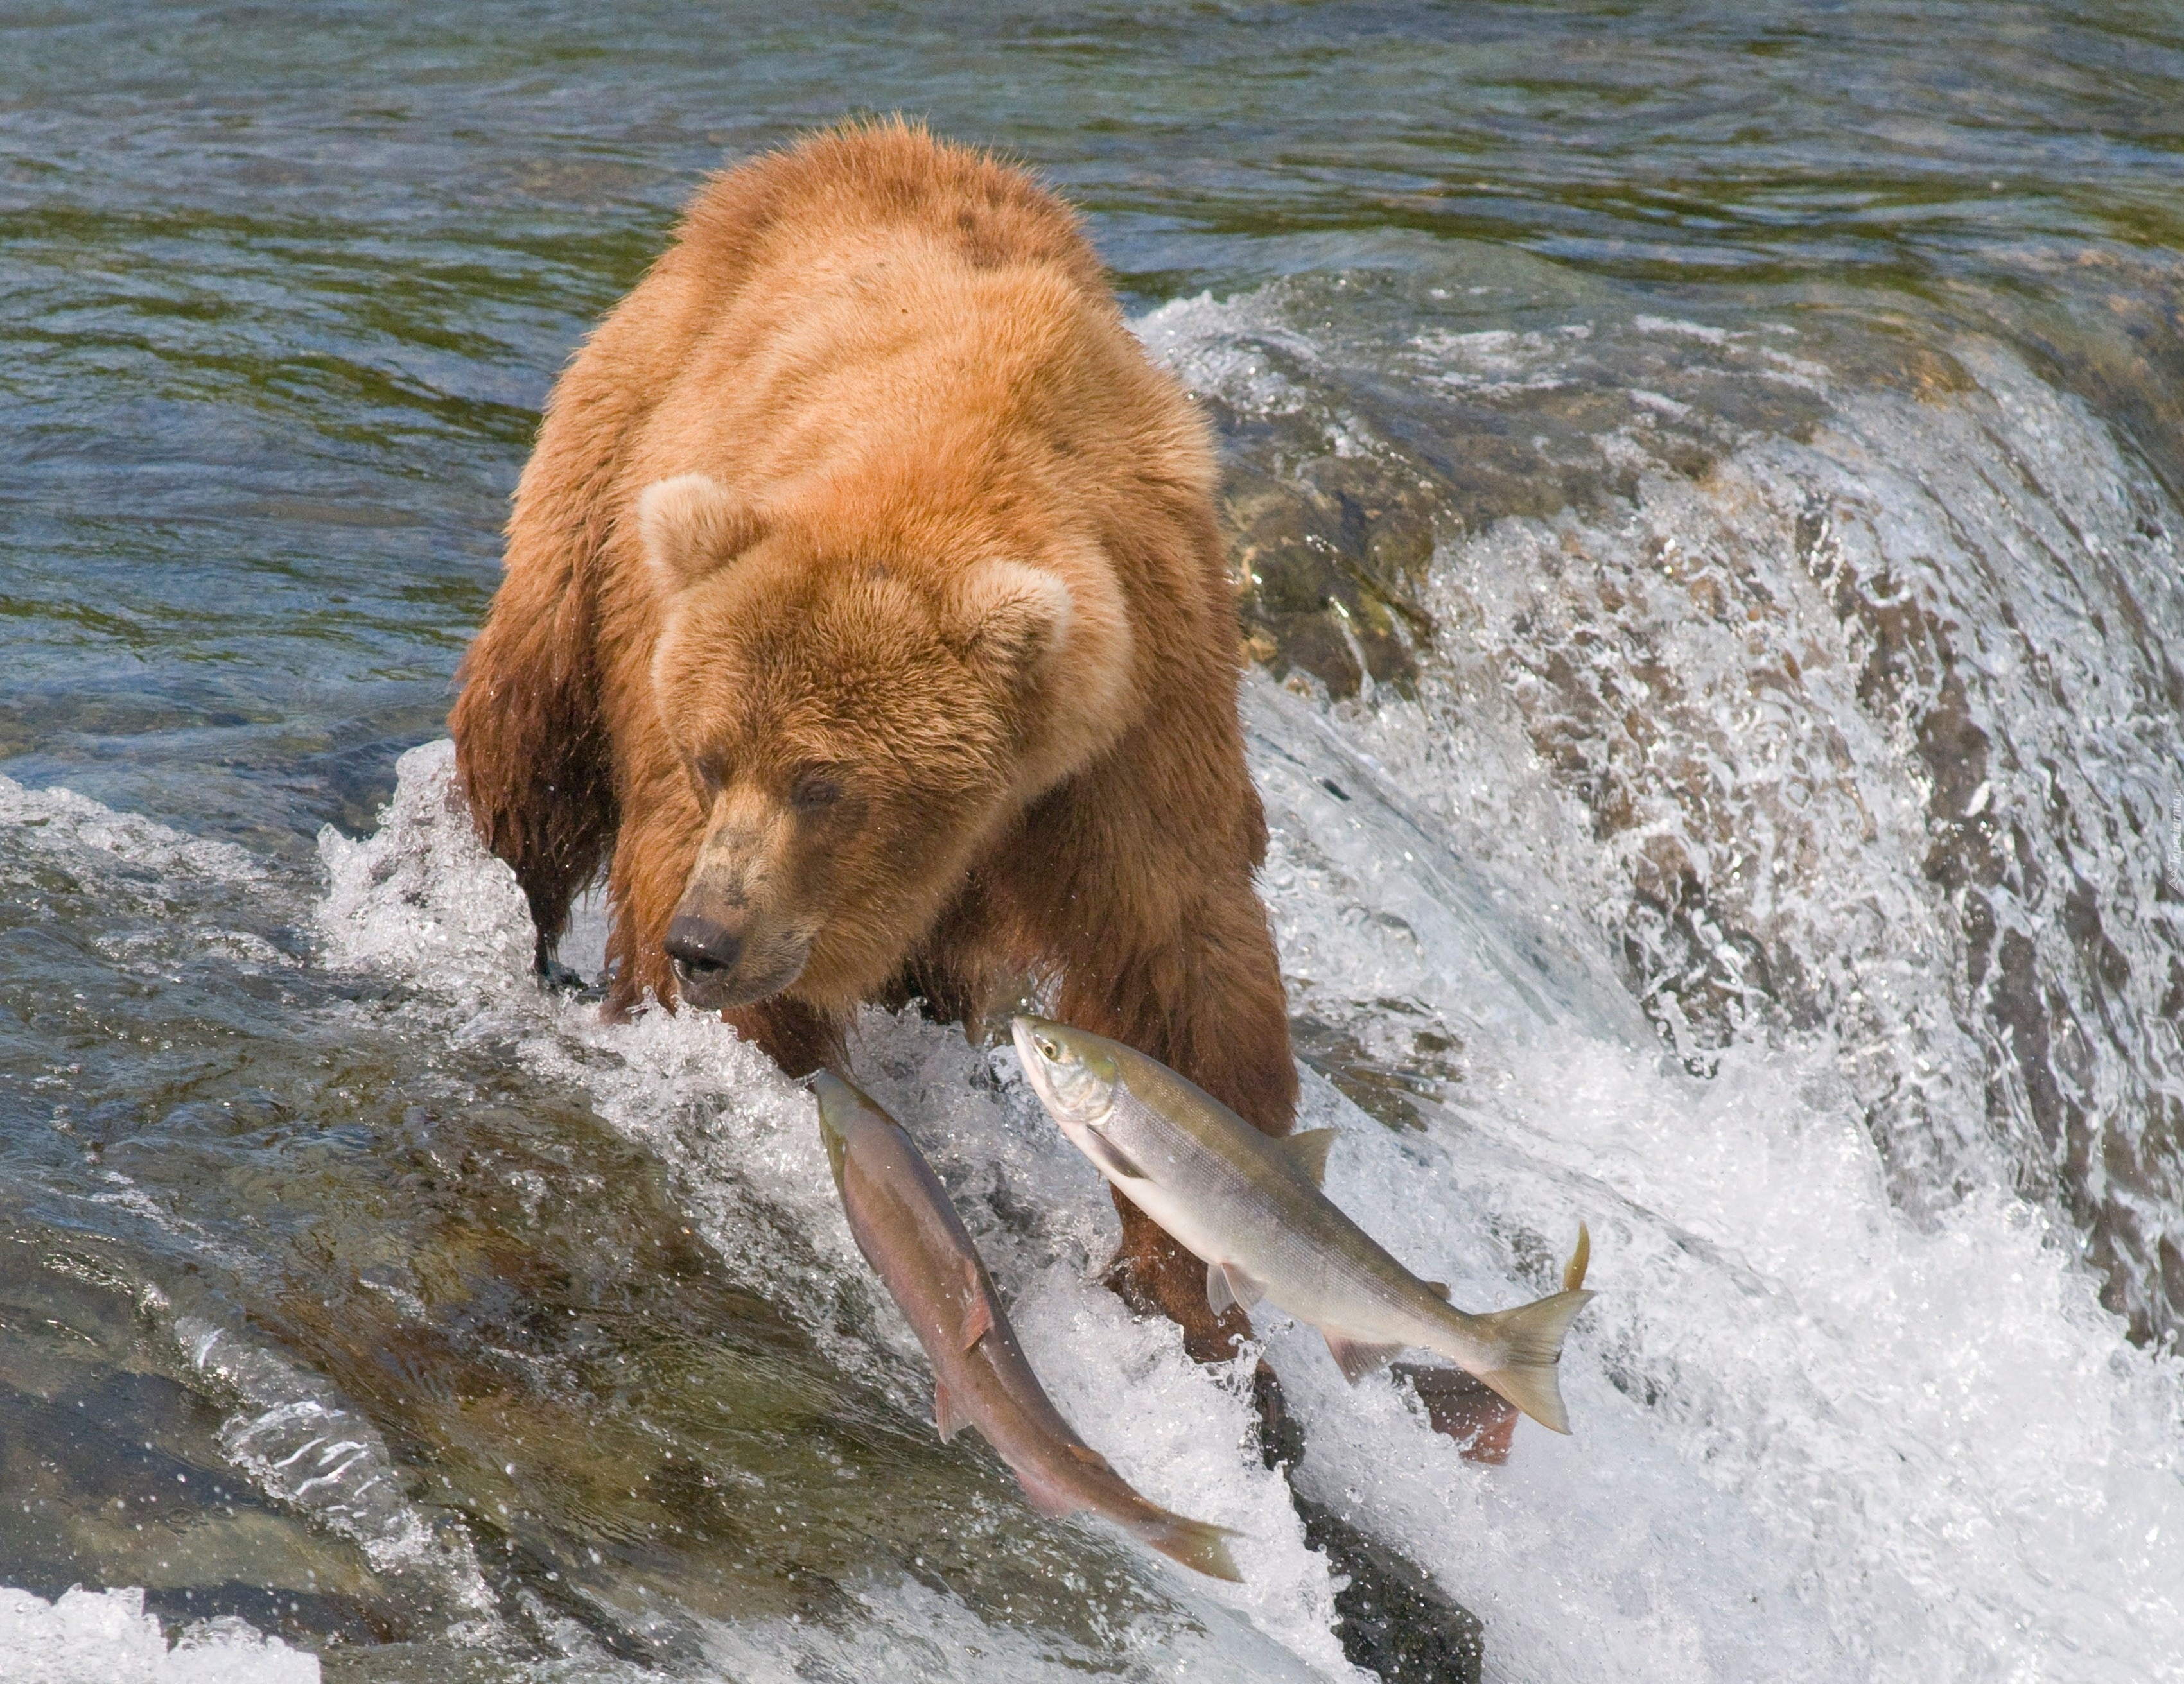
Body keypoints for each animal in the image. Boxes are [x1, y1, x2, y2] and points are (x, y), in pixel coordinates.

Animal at [448, 121, 1293, 1354]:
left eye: (824, 782)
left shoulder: (1134, 721)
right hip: (611, 466)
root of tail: (818, 152)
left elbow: (1179, 973)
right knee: (533, 729)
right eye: (711, 757)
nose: (709, 940)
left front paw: (1194, 1284)